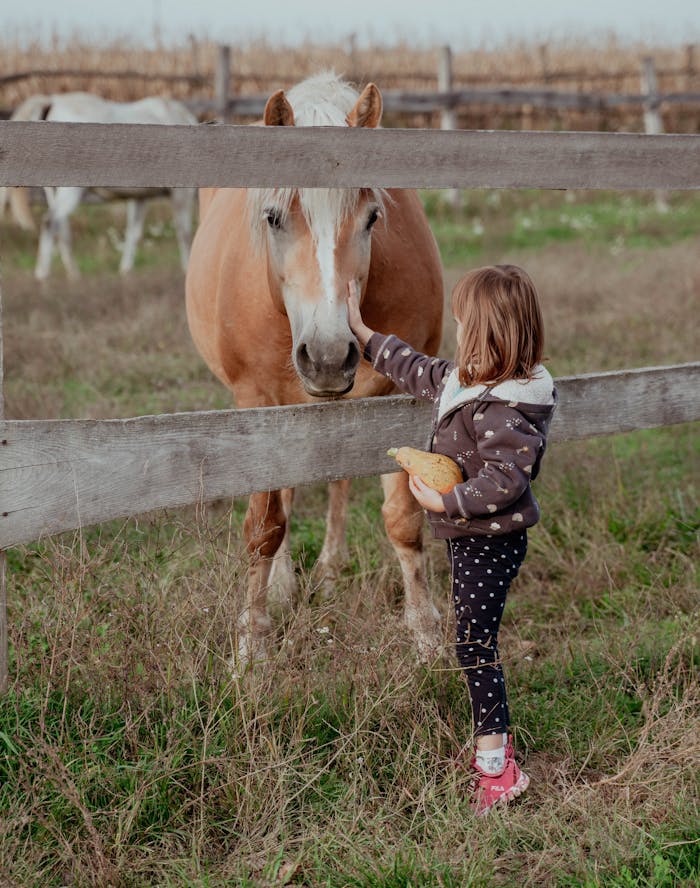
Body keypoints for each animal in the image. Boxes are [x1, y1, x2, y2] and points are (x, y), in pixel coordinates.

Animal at [1, 92, 197, 279]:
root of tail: (53, 101)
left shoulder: (139, 197)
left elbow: (133, 233)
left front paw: (125, 270)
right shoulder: (181, 195)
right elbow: (184, 232)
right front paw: (187, 269)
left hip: (53, 190)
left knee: (61, 227)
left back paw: (74, 274)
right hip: (70, 190)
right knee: (50, 222)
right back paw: (43, 275)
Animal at [185, 72, 445, 668]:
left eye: (373, 217)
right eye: (273, 217)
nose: (327, 355)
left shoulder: (391, 397)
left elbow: (402, 519)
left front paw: (425, 634)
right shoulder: (255, 403)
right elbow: (264, 525)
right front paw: (252, 644)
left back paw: (328, 570)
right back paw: (284, 586)